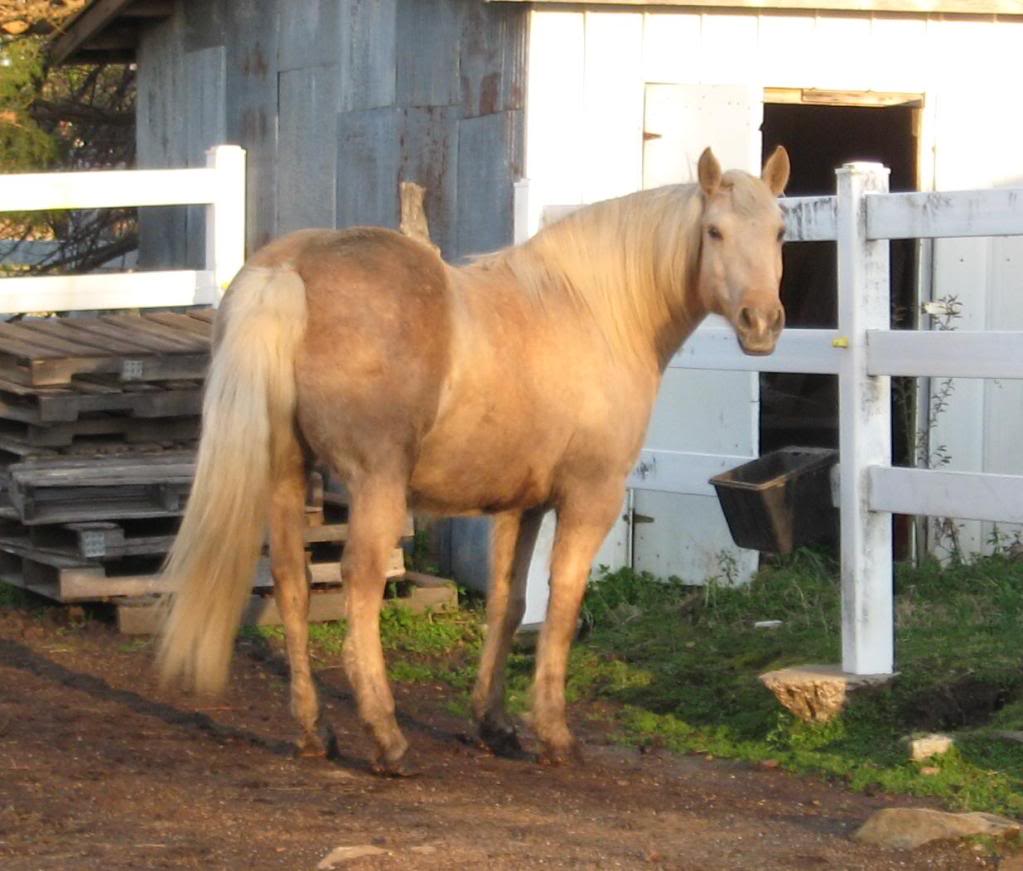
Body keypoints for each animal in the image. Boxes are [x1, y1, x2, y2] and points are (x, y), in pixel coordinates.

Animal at [155, 146, 789, 773]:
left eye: (781, 231)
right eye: (714, 231)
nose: (762, 322)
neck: (591, 313)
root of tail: (290, 271)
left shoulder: (519, 507)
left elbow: (509, 604)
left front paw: (495, 723)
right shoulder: (590, 496)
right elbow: (563, 602)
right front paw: (554, 734)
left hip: (287, 476)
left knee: (293, 582)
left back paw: (317, 732)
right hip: (376, 484)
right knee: (360, 583)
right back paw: (387, 738)